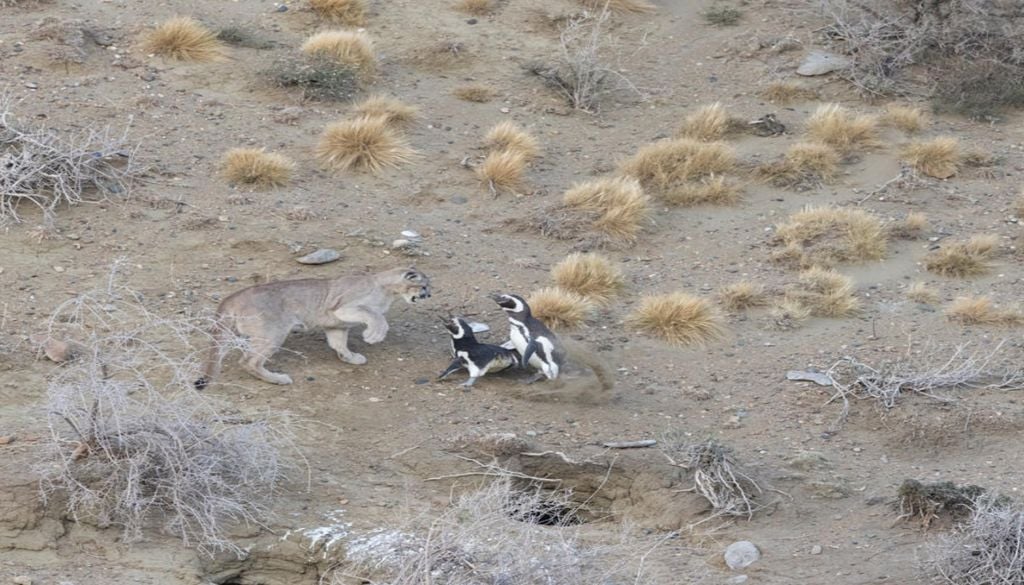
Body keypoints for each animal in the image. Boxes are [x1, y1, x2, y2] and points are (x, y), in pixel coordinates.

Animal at [194, 266, 431, 388]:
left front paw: (350, 357)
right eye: (424, 286)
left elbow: (339, 344)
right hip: (273, 334)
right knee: (248, 361)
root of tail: (232, 297)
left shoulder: (337, 325)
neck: (387, 289)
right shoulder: (343, 306)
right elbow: (374, 315)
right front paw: (374, 334)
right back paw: (278, 379)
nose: (428, 295)